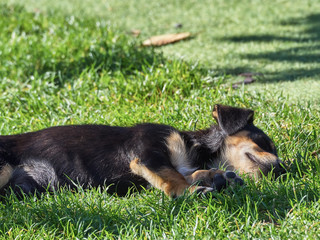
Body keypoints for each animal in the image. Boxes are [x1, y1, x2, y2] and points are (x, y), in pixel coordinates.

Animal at [0, 104, 284, 198]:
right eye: (263, 143)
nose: (283, 169)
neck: (195, 149)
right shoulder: (148, 153)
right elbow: (173, 176)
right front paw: (190, 191)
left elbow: (186, 173)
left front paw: (218, 177)